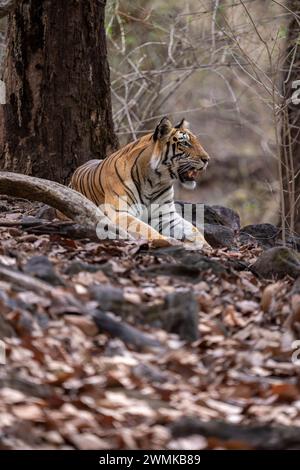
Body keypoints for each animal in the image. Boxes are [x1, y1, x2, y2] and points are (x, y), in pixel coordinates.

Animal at [70, 117, 211, 248]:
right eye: (185, 143)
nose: (207, 159)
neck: (155, 181)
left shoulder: (166, 215)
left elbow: (193, 229)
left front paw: (207, 247)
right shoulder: (120, 213)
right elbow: (146, 229)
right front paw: (170, 242)